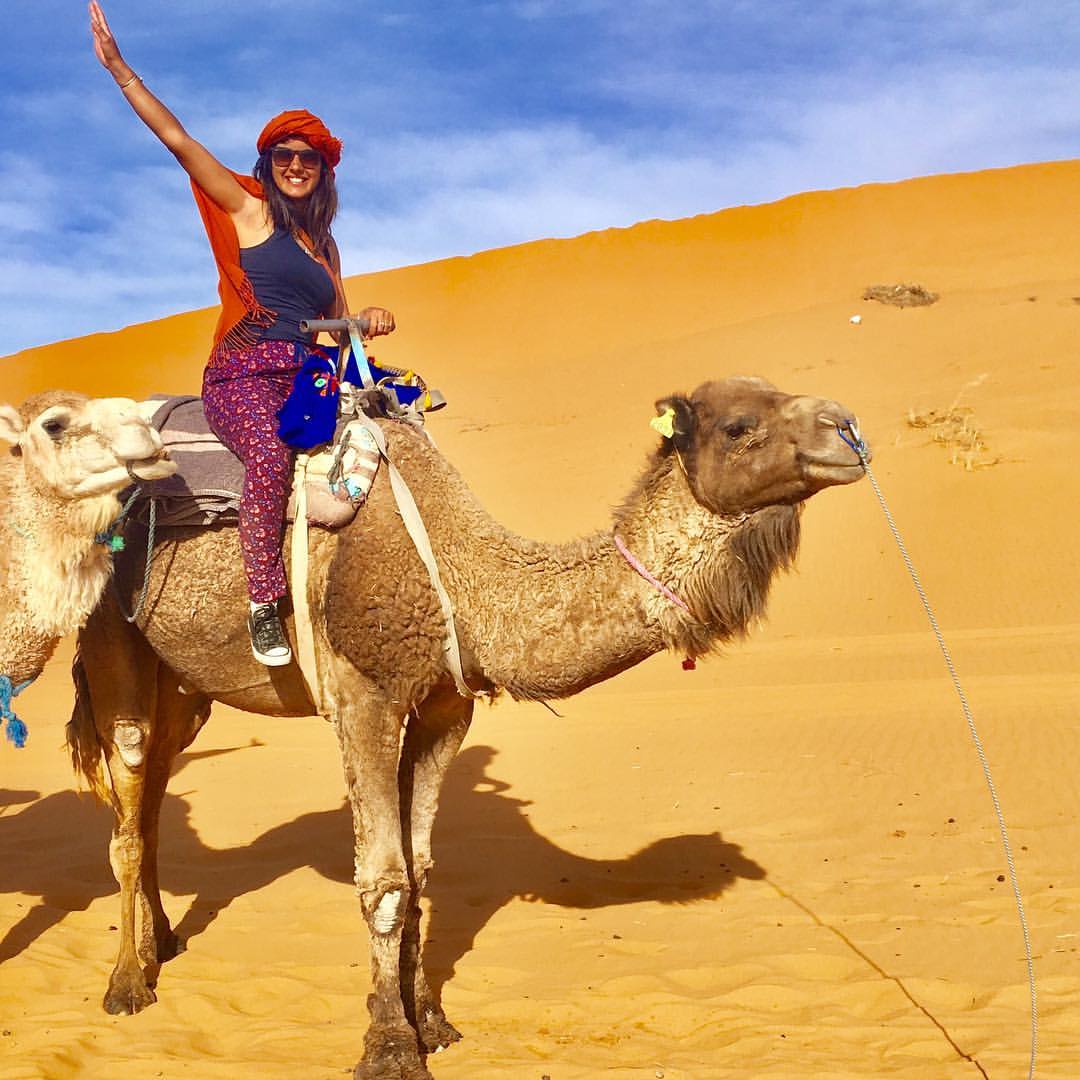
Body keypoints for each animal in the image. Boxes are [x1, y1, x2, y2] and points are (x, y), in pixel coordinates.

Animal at [68, 376, 867, 1080]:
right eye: (739, 425)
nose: (849, 429)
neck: (462, 577)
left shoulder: (444, 709)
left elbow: (421, 870)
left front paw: (431, 1022)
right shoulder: (363, 699)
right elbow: (383, 880)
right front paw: (389, 1048)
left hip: (186, 688)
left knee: (154, 799)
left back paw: (164, 945)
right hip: (112, 636)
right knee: (128, 809)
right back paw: (127, 985)